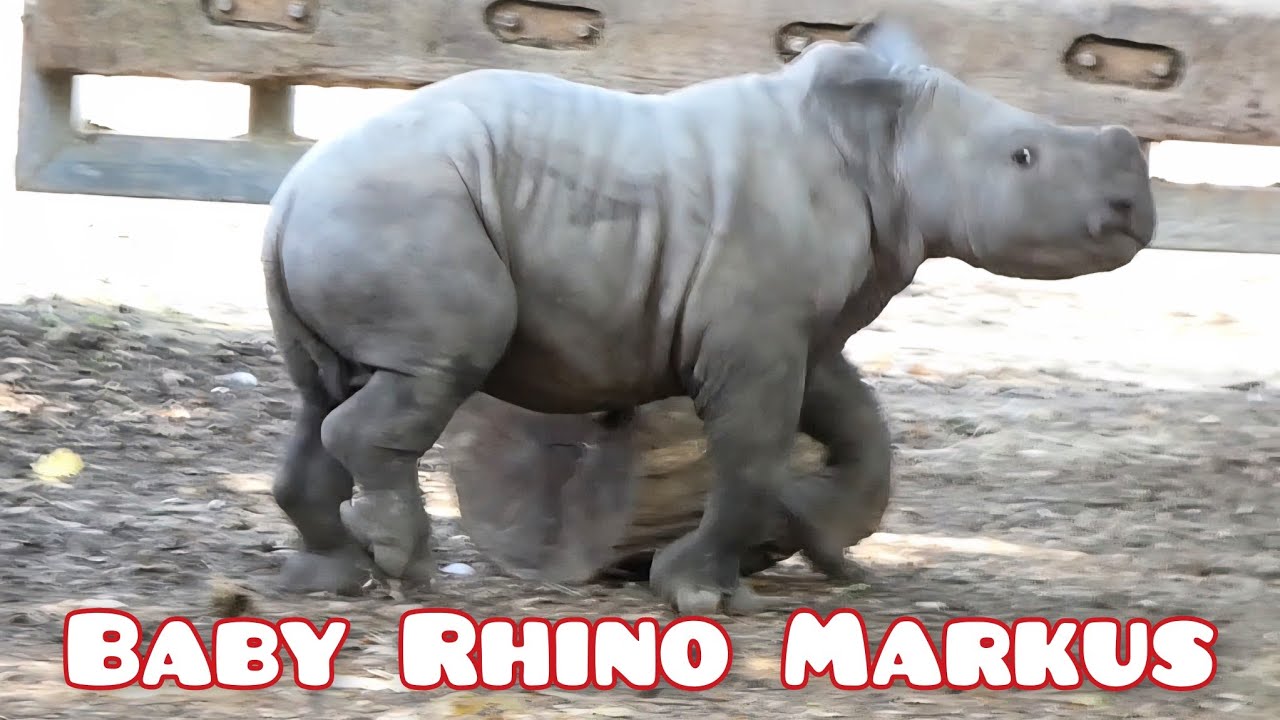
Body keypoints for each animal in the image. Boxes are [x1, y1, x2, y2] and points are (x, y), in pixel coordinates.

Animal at [260, 20, 1155, 616]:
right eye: (1024, 158)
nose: (1134, 210)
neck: (884, 146)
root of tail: (289, 192)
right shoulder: (755, 335)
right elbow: (754, 455)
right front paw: (702, 594)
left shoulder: (801, 328)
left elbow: (857, 425)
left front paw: (821, 532)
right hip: (405, 210)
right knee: (433, 369)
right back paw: (403, 566)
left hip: (354, 218)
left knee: (320, 392)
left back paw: (331, 577)